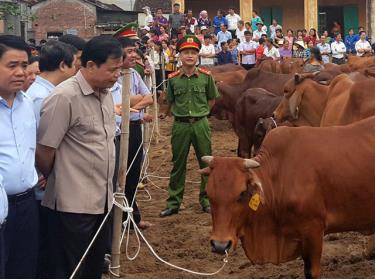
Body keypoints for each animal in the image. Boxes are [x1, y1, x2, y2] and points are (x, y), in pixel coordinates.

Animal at [203, 116, 375, 279]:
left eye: (242, 193)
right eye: (209, 194)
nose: (220, 245)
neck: (279, 173)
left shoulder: (314, 231)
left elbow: (311, 272)